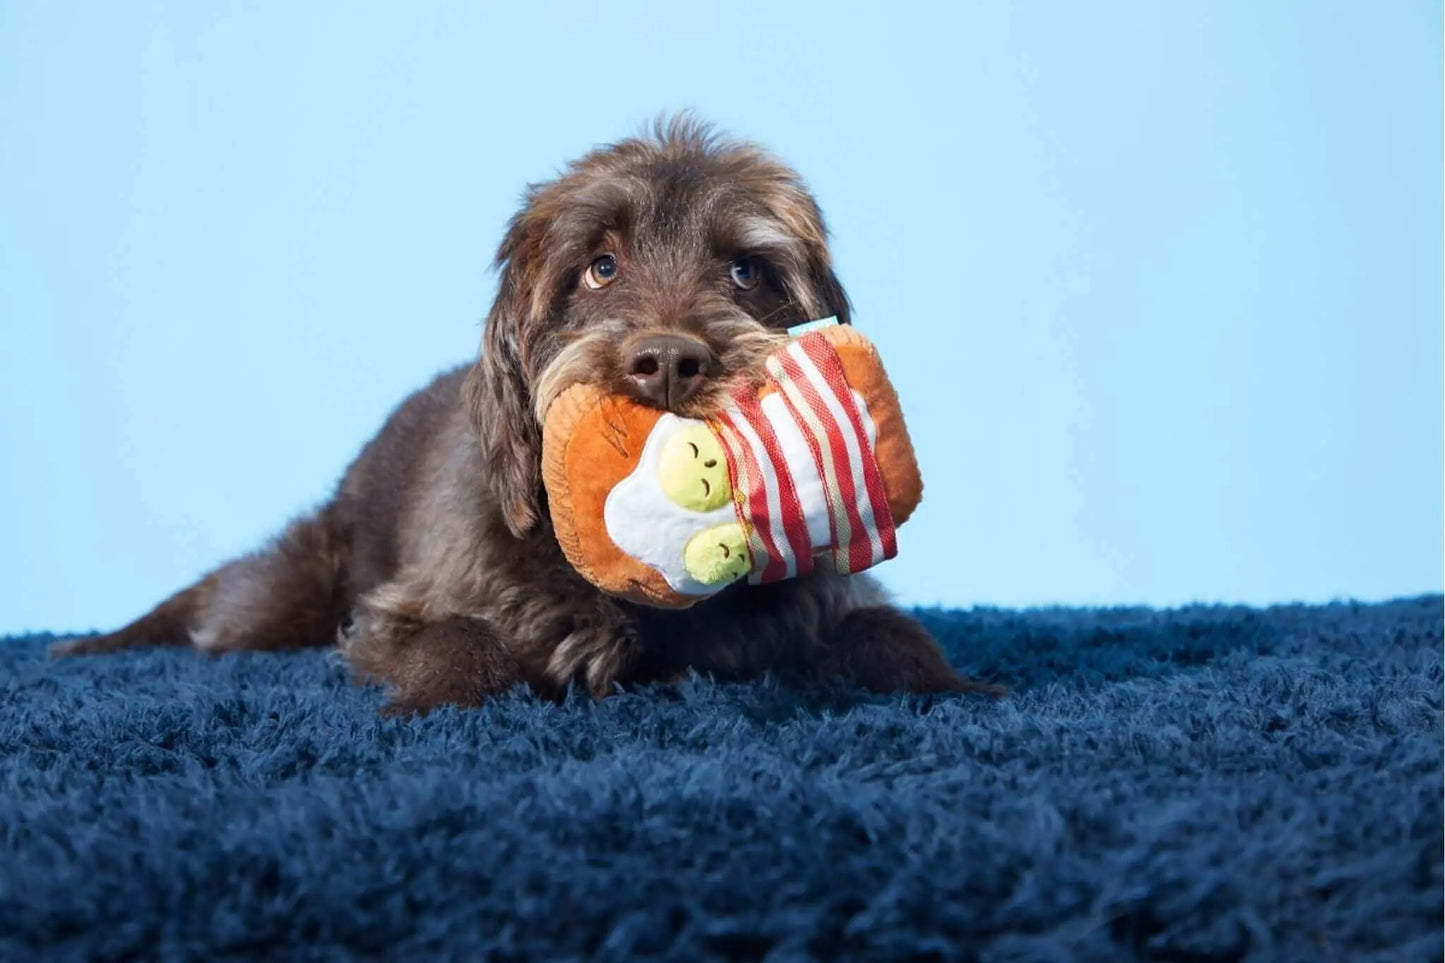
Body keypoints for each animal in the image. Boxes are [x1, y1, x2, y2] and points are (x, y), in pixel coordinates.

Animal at [56, 114, 1005, 711]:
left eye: (746, 271)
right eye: (599, 267)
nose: (668, 362)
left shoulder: (814, 600)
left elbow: (881, 626)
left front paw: (953, 683)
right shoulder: (400, 612)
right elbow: (454, 641)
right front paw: (427, 702)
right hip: (282, 593)